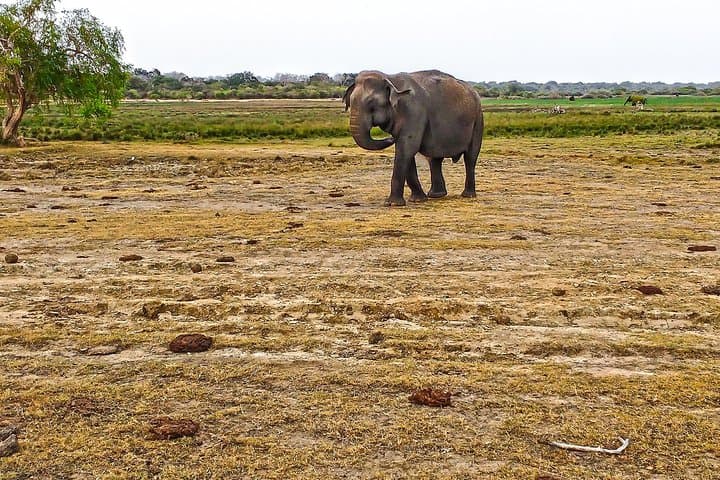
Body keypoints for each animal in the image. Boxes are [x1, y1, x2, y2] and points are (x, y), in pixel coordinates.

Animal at [343, 70, 484, 206]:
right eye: (350, 102)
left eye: (372, 104)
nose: (390, 139)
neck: (390, 78)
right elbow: (406, 151)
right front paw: (418, 200)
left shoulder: (413, 112)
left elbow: (407, 147)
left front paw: (392, 204)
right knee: (434, 159)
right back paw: (436, 195)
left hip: (478, 120)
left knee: (470, 157)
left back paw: (468, 195)